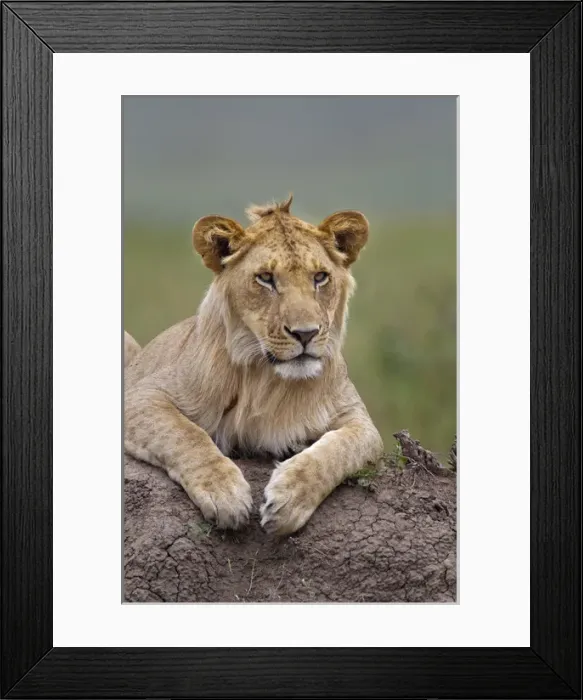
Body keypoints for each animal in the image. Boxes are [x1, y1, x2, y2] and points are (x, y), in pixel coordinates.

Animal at [124, 195, 384, 535]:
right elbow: (185, 434)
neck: (269, 382)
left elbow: (338, 450)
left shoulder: (360, 422)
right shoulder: (142, 396)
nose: (306, 333)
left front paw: (289, 499)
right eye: (266, 278)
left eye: (320, 277)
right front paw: (224, 493)